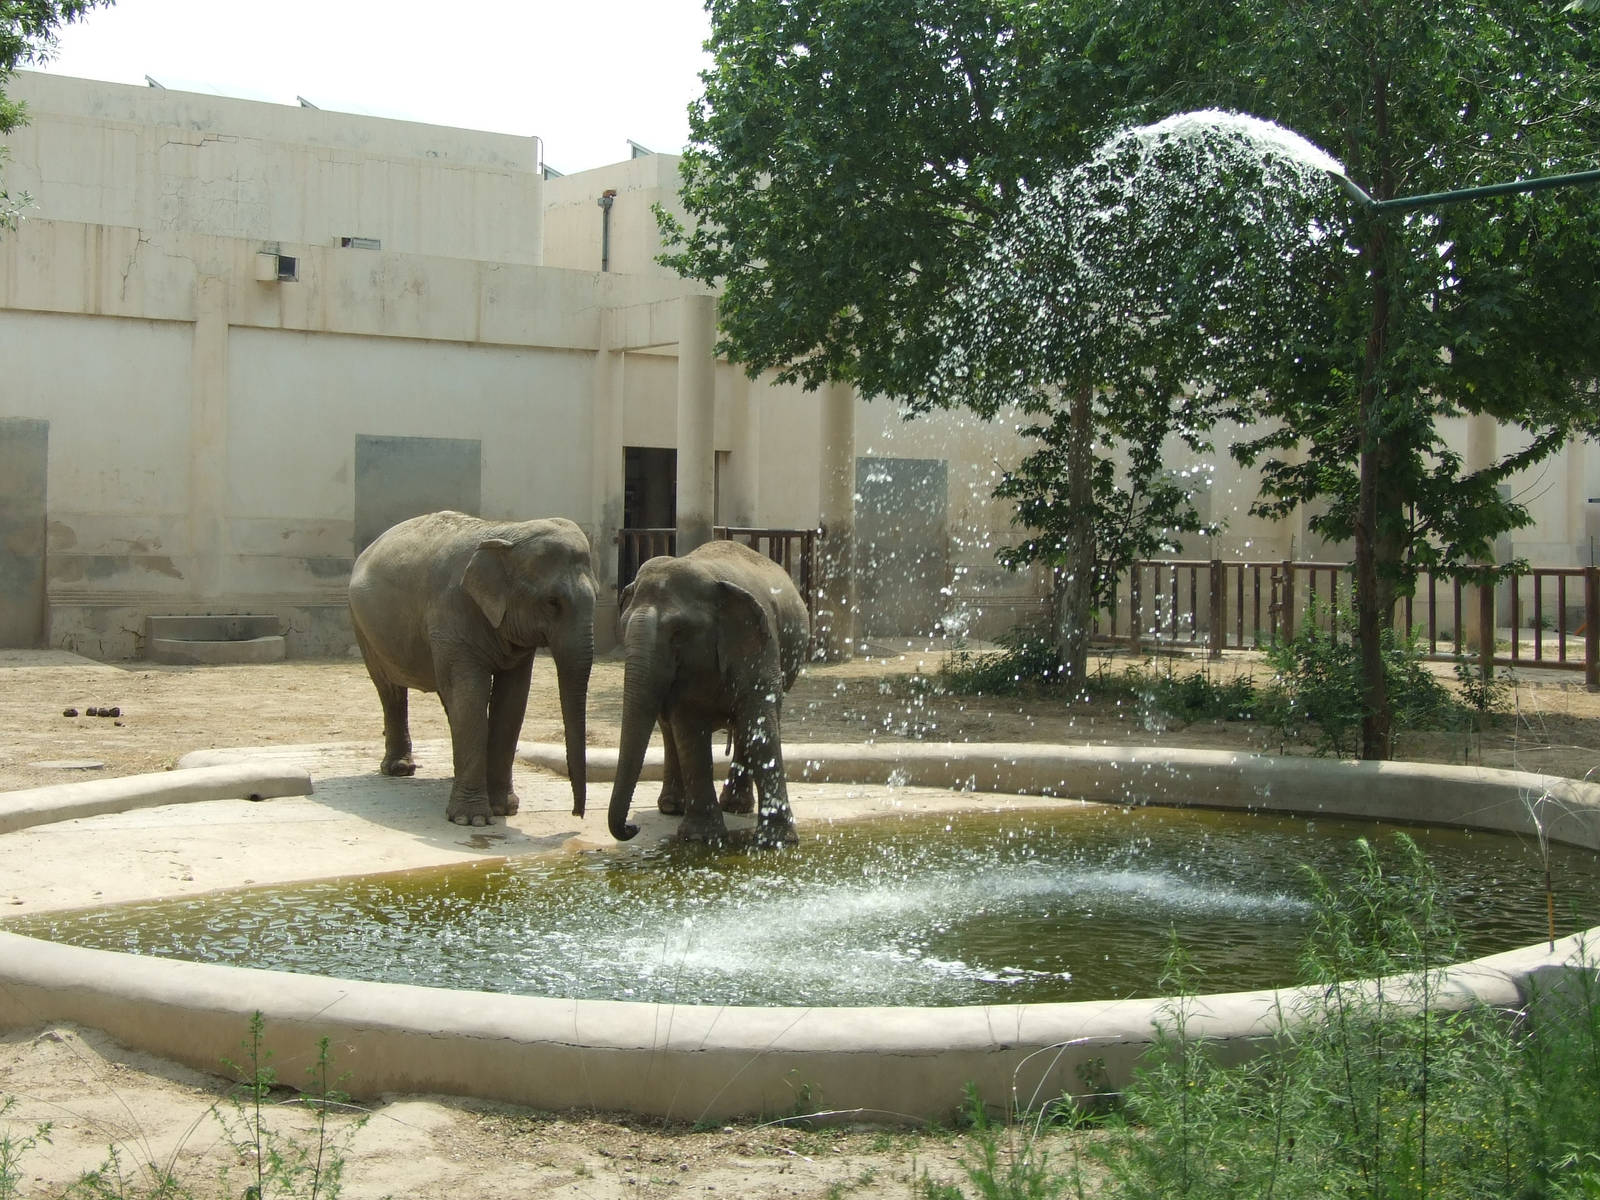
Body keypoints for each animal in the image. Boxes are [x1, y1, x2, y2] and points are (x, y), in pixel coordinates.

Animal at [348, 510, 596, 827]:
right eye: (553, 602)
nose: (578, 814)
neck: (506, 532)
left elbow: (511, 700)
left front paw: (504, 808)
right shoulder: (452, 614)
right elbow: (470, 694)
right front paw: (473, 819)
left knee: (446, 696)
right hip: (363, 626)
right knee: (390, 690)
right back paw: (399, 769)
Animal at [608, 538, 810, 847]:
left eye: (678, 633)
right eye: (624, 627)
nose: (632, 827)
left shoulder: (760, 643)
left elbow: (760, 722)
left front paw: (777, 842)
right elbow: (689, 729)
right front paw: (701, 837)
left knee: (747, 724)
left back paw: (735, 806)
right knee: (670, 730)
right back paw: (672, 807)